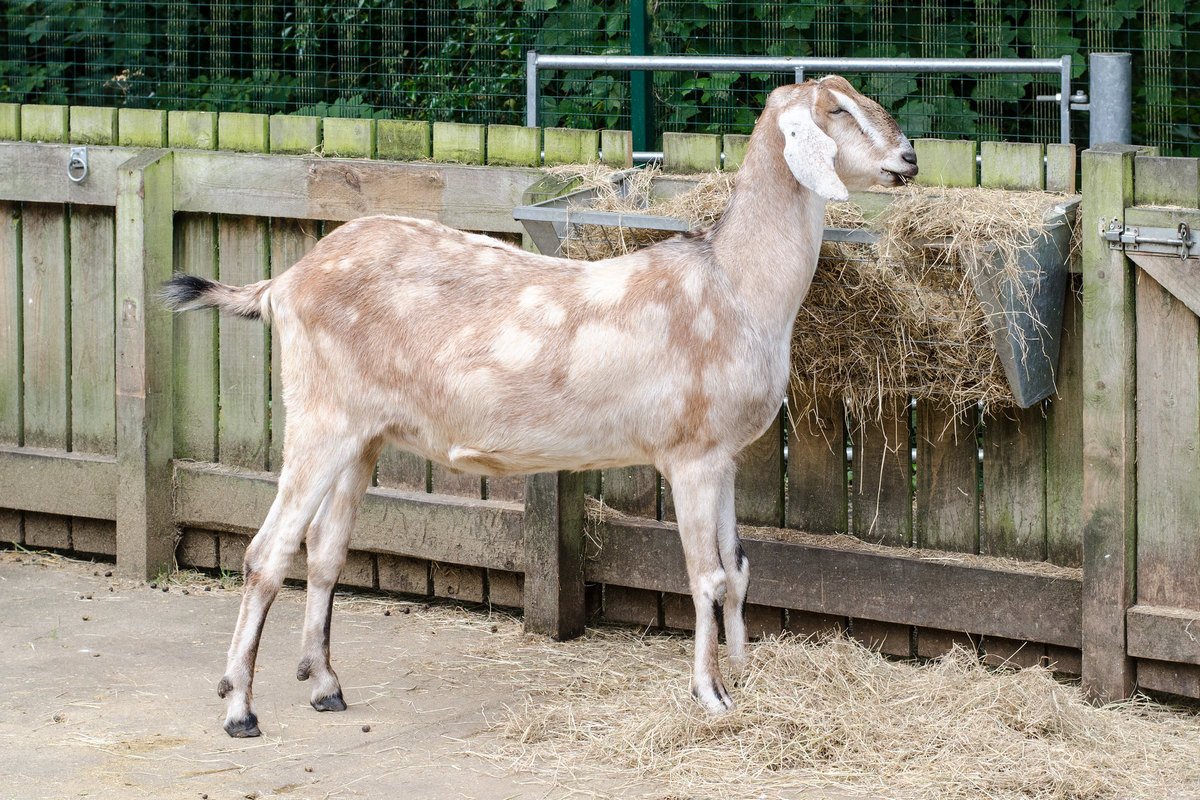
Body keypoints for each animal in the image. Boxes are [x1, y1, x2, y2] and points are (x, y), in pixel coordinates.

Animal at [164, 76, 917, 738]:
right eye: (836, 111)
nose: (908, 158)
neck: (733, 285)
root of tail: (283, 282)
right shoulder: (691, 457)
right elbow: (704, 577)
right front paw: (710, 696)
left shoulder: (725, 455)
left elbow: (737, 570)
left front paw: (745, 677)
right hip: (319, 419)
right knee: (264, 555)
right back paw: (240, 709)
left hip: (362, 435)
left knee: (324, 552)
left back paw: (324, 685)